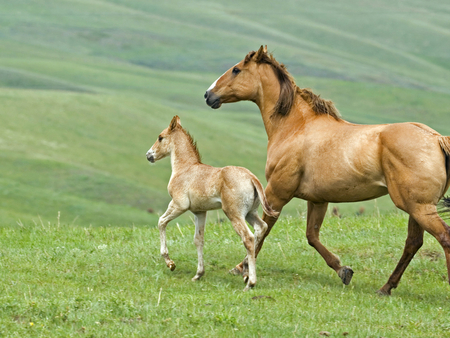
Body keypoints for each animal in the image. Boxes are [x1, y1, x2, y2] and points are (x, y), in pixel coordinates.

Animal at [146, 116, 278, 290]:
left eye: (160, 137)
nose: (149, 155)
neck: (185, 168)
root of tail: (251, 178)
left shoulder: (178, 205)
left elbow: (161, 222)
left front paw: (170, 263)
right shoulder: (200, 212)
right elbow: (198, 240)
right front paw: (198, 274)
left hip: (234, 214)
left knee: (248, 238)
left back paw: (250, 282)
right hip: (250, 213)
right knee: (261, 228)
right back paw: (245, 272)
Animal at [205, 45, 450, 296]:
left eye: (236, 69)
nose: (208, 95)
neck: (295, 127)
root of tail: (436, 138)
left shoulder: (276, 193)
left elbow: (262, 231)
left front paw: (241, 268)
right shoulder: (318, 200)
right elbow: (312, 236)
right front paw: (343, 270)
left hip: (419, 207)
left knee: (443, 237)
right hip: (415, 207)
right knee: (413, 243)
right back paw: (385, 288)